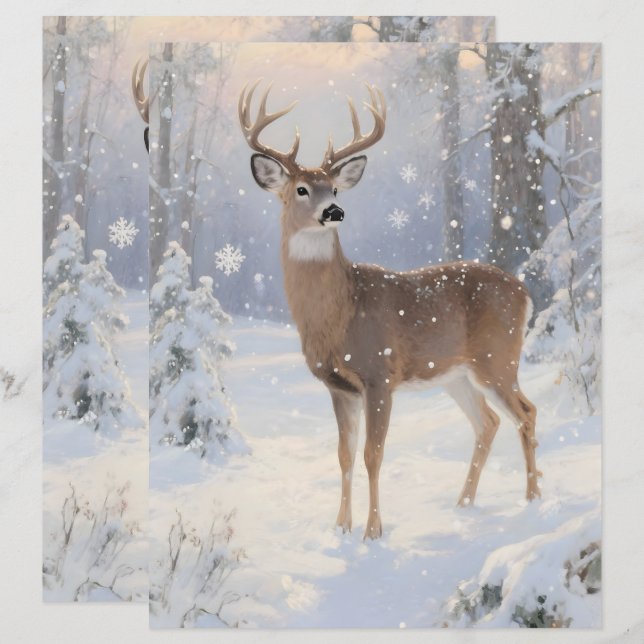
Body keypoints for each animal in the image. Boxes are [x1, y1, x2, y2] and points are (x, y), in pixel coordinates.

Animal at [239, 80, 541, 540]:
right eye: (302, 189)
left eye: (335, 188)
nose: (334, 211)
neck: (340, 313)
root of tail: (525, 293)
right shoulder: (338, 387)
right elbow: (344, 455)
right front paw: (340, 527)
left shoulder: (380, 374)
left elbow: (373, 454)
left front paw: (373, 531)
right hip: (457, 373)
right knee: (488, 422)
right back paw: (464, 503)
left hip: (497, 357)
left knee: (526, 412)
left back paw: (533, 498)